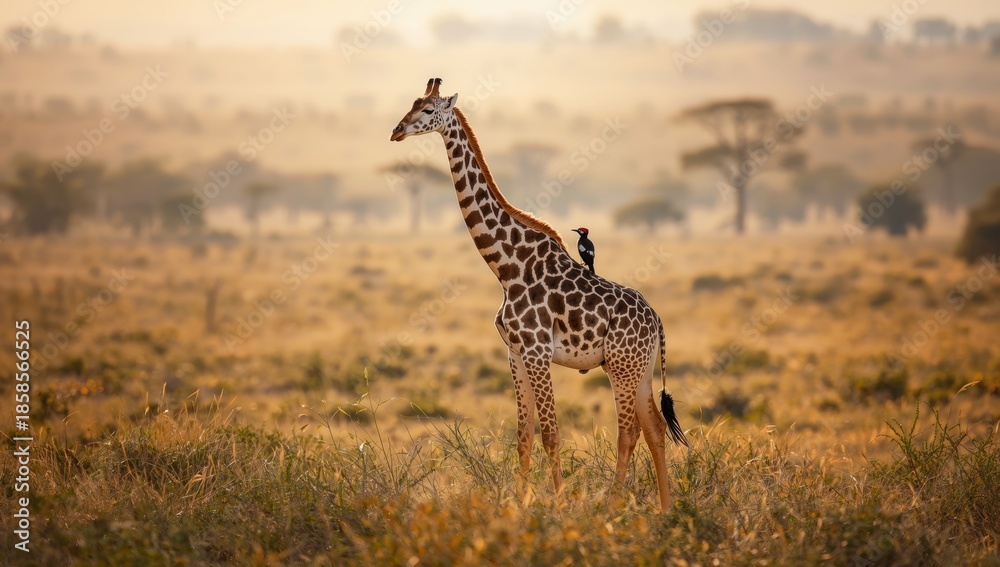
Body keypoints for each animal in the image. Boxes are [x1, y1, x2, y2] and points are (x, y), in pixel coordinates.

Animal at [390, 78, 688, 512]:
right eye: (411, 104)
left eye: (428, 110)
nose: (396, 131)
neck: (506, 267)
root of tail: (657, 320)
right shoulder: (514, 352)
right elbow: (523, 436)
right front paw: (520, 504)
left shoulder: (536, 351)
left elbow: (551, 434)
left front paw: (559, 507)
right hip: (641, 367)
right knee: (654, 427)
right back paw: (665, 511)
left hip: (620, 367)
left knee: (629, 432)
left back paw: (613, 505)